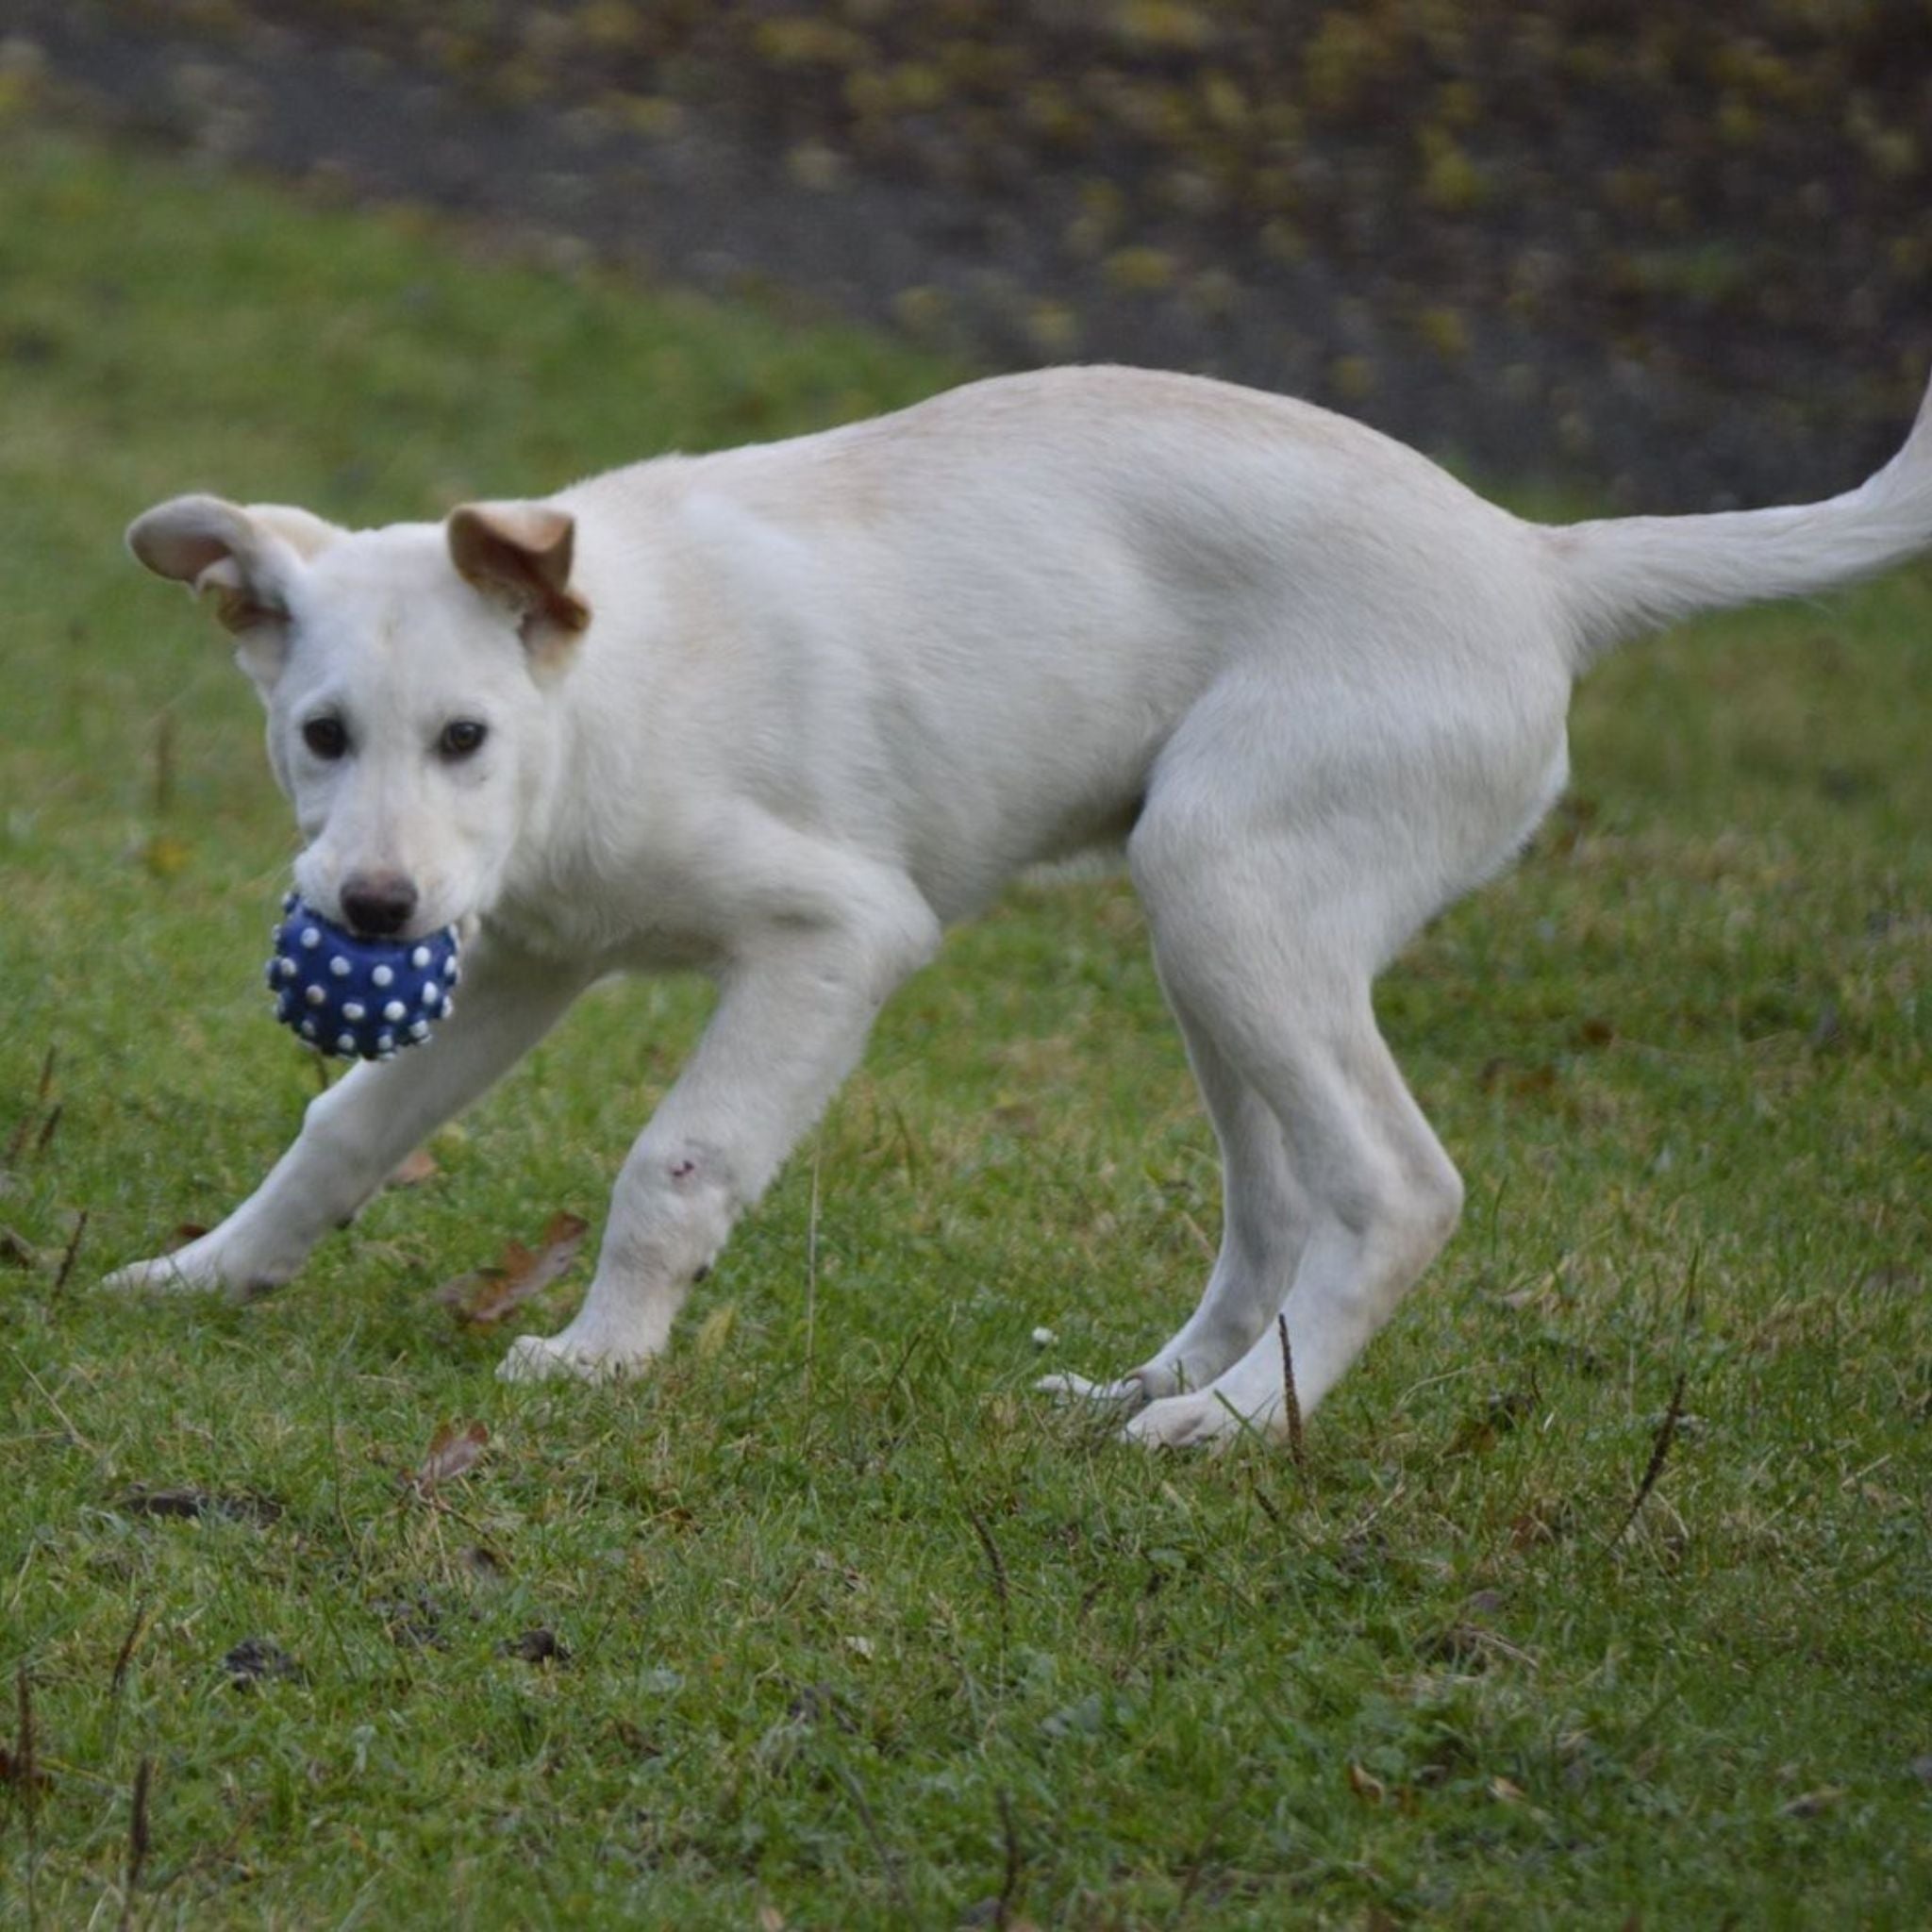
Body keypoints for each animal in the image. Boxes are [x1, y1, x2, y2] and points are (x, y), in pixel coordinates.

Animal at [116, 365, 1932, 1453]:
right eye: (320, 734)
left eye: (465, 738)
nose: (367, 911)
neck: (608, 688)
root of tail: (1538, 565)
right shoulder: (513, 961)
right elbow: (347, 1128)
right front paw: (213, 1272)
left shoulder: (836, 937)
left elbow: (673, 1167)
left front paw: (604, 1359)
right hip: (1214, 933)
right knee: (1275, 1204)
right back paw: (1153, 1385)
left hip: (1228, 884)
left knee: (1397, 1188)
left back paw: (1232, 1429)